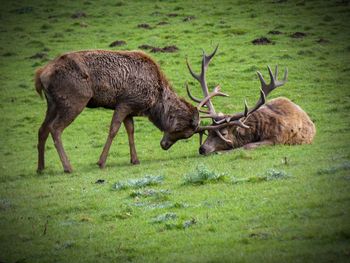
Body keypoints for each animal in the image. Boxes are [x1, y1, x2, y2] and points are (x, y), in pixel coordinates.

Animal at [35, 48, 226, 174]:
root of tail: (41, 74)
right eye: (185, 132)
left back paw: (41, 168)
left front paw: (135, 160)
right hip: (75, 99)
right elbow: (114, 129)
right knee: (55, 128)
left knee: (42, 129)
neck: (154, 101)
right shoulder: (125, 102)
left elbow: (130, 130)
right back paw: (68, 167)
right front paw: (101, 162)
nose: (164, 145)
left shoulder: (130, 109)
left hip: (53, 103)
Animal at [185, 62, 316, 156]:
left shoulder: (277, 139)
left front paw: (220, 152)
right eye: (208, 132)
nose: (202, 149)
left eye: (223, 133)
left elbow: (247, 146)